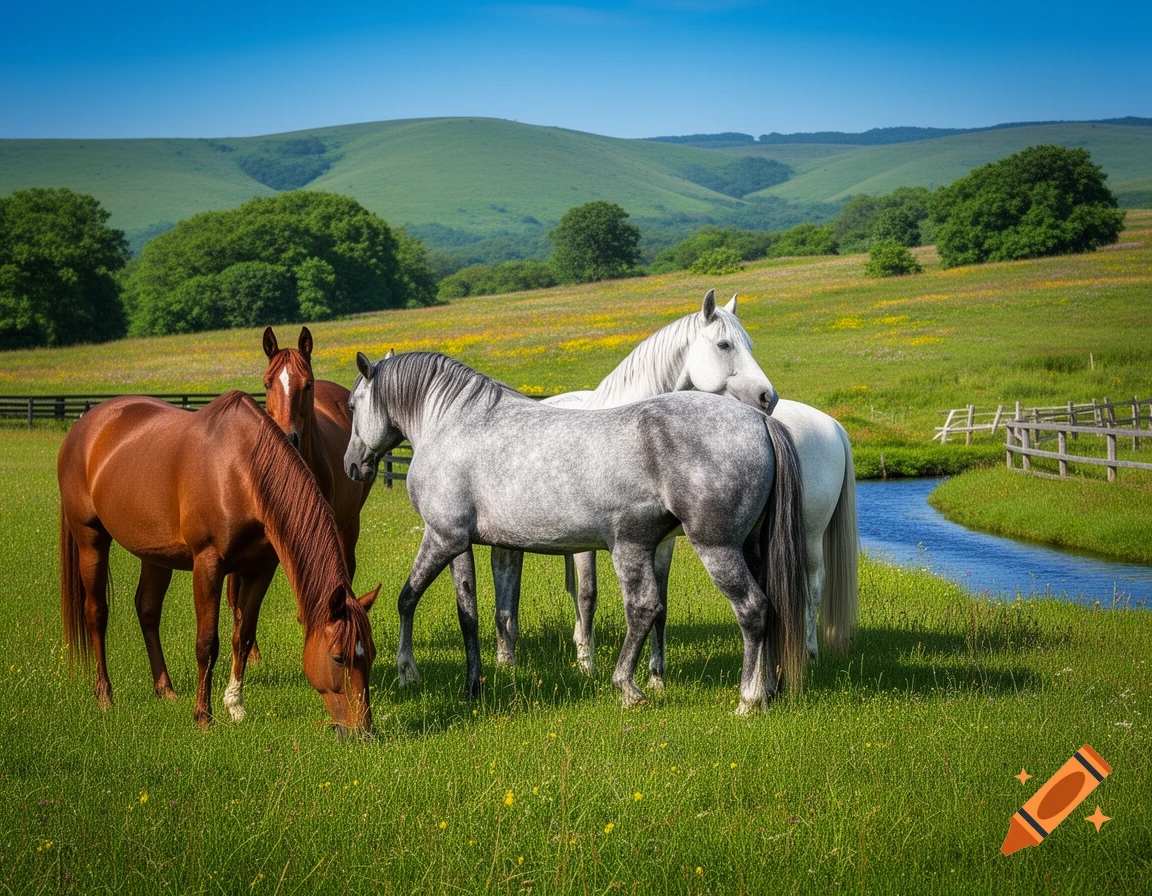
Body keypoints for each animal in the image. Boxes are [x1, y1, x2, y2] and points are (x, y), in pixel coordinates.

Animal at [57, 391, 379, 735]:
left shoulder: (260, 569)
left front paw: (235, 705)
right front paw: (203, 715)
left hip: (155, 554)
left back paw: (165, 689)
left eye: (371, 655)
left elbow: (243, 636)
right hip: (90, 539)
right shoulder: (208, 564)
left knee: (147, 610)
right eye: (339, 658)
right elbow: (207, 643)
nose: (362, 730)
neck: (239, 469)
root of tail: (85, 425)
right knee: (96, 613)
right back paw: (105, 694)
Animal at [344, 350, 809, 713]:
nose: (353, 465)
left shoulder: (443, 537)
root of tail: (758, 420)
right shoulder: (476, 545)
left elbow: (410, 599)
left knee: (742, 609)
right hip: (739, 548)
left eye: (352, 406)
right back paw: (765, 689)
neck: (451, 422)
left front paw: (409, 671)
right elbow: (477, 613)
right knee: (759, 608)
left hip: (708, 547)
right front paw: (475, 685)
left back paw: (734, 698)